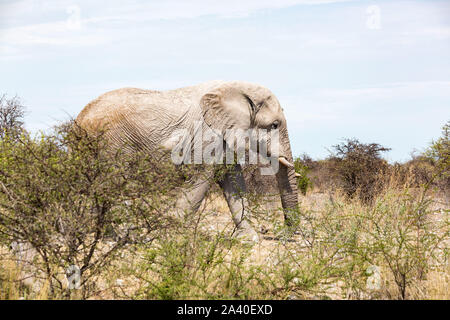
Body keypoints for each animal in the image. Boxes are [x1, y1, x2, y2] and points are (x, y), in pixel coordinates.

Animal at [75, 80, 298, 242]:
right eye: (274, 125)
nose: (283, 235)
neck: (237, 90)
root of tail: (80, 118)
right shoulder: (206, 135)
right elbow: (201, 179)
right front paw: (172, 234)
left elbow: (233, 182)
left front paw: (248, 238)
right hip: (111, 144)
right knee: (112, 185)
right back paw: (122, 238)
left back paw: (106, 236)